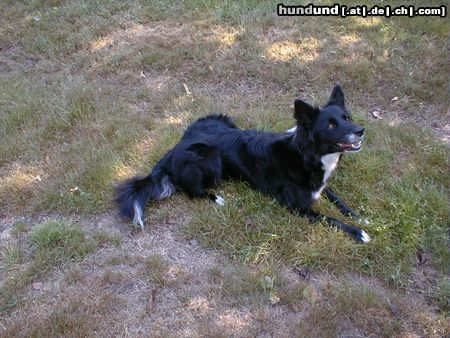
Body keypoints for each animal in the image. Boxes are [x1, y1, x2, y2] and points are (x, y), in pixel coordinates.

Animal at [115, 84, 370, 243]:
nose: (361, 130)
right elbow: (330, 219)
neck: (306, 155)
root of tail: (173, 150)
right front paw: (359, 233)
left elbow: (337, 199)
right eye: (330, 125)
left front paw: (359, 216)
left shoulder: (319, 185)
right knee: (191, 191)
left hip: (221, 118)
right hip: (210, 159)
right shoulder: (295, 207)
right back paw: (216, 199)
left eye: (346, 118)